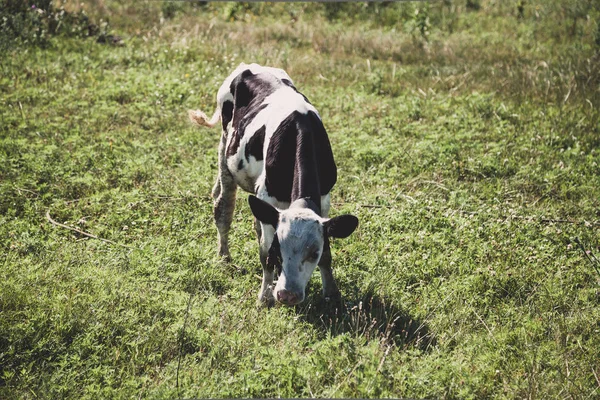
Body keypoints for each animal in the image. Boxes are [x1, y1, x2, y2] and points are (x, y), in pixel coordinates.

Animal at [189, 62, 356, 306]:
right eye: (279, 248)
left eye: (313, 253)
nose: (288, 295)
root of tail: (248, 66)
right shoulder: (267, 195)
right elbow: (263, 252)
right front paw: (265, 297)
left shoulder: (324, 198)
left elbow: (327, 253)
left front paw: (332, 295)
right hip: (225, 147)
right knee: (223, 209)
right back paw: (224, 256)